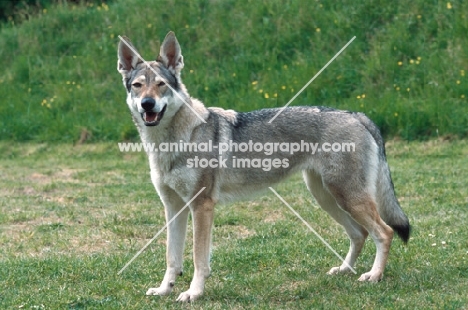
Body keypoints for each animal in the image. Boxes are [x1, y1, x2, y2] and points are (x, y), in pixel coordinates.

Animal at [117, 32, 410, 302]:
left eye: (161, 84)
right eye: (138, 86)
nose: (147, 104)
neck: (170, 143)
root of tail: (356, 115)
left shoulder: (201, 206)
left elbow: (199, 258)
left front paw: (194, 293)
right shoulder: (173, 207)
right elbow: (172, 257)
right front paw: (164, 289)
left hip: (346, 197)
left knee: (384, 232)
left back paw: (374, 275)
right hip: (327, 198)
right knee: (360, 234)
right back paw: (344, 270)